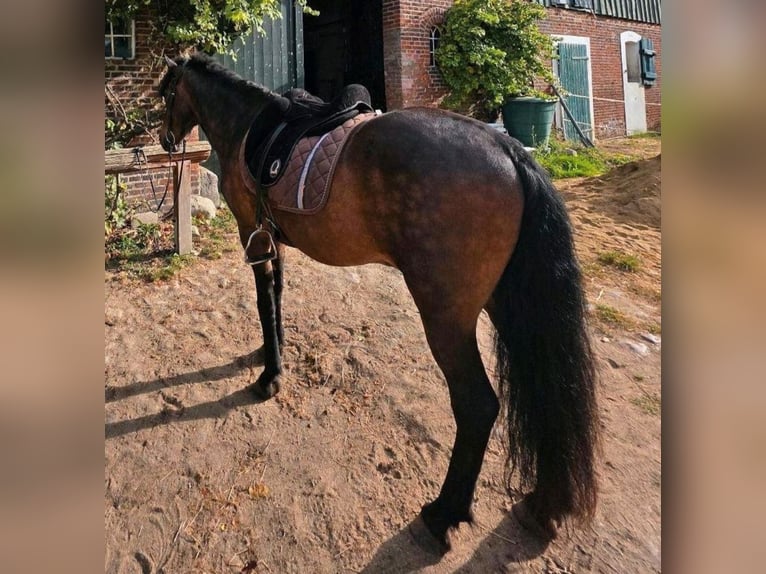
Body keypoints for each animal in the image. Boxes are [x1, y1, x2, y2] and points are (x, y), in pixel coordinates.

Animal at [158, 53, 599, 551]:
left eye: (166, 91)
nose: (165, 139)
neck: (248, 125)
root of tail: (509, 150)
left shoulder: (251, 233)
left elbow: (263, 298)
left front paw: (269, 376)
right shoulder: (273, 237)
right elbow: (278, 294)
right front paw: (274, 353)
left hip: (447, 318)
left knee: (478, 405)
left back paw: (444, 513)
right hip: (511, 306)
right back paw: (545, 503)